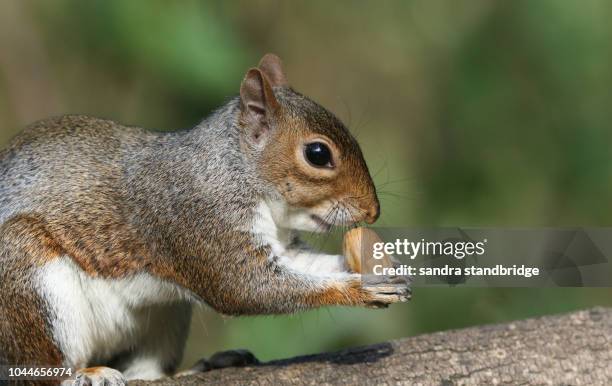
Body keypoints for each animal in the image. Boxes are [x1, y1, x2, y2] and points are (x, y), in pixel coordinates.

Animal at [1, 55, 412, 386]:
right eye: (317, 154)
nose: (373, 211)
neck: (236, 171)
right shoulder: (201, 222)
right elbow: (246, 287)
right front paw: (359, 289)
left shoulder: (277, 243)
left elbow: (305, 265)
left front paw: (388, 270)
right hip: (27, 279)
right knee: (39, 372)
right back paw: (85, 374)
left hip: (162, 317)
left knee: (145, 371)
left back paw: (203, 366)